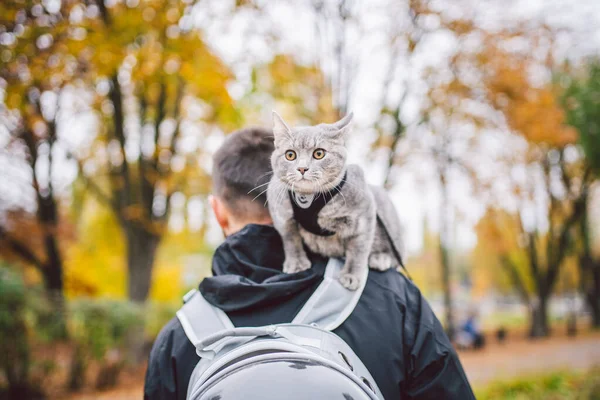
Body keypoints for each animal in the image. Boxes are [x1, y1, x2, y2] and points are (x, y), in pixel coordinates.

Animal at [266, 111, 404, 290]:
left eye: (319, 153)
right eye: (290, 155)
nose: (302, 168)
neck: (309, 198)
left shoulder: (365, 213)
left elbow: (359, 249)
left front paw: (352, 275)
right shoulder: (281, 215)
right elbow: (291, 240)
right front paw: (296, 263)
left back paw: (380, 257)